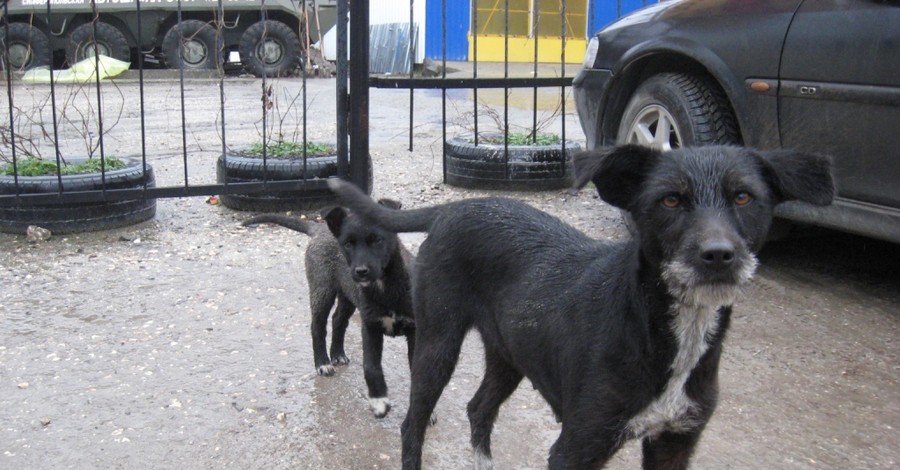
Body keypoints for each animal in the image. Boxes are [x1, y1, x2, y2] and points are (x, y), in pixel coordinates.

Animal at [244, 200, 416, 416]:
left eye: (377, 240)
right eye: (348, 244)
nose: (360, 271)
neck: (385, 288)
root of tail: (320, 229)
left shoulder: (416, 331)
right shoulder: (370, 327)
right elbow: (371, 367)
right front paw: (379, 401)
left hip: (347, 294)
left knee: (338, 320)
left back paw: (338, 354)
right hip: (322, 289)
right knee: (317, 327)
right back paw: (323, 363)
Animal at [326, 145, 832, 468]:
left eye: (744, 196)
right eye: (670, 200)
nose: (718, 256)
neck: (663, 330)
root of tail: (455, 207)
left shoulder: (674, 442)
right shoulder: (576, 447)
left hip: (509, 354)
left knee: (478, 410)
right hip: (437, 343)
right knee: (412, 426)